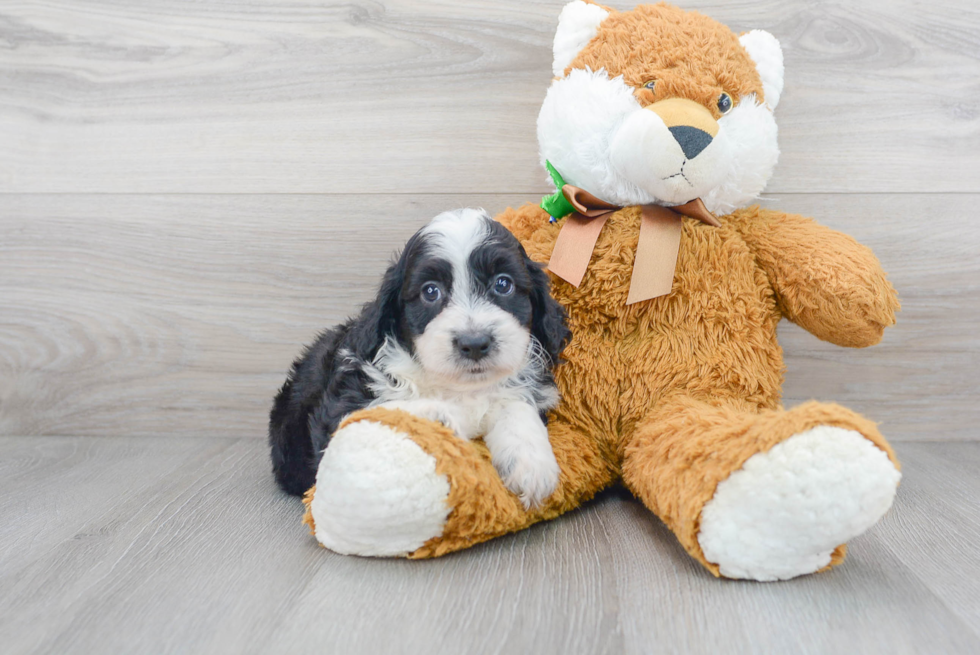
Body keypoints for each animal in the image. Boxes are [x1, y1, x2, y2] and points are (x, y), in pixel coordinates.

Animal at [270, 209, 576, 508]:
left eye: (503, 284)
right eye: (430, 291)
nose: (474, 344)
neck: (458, 387)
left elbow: (516, 405)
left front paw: (531, 465)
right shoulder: (343, 405)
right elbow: (379, 411)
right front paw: (439, 416)